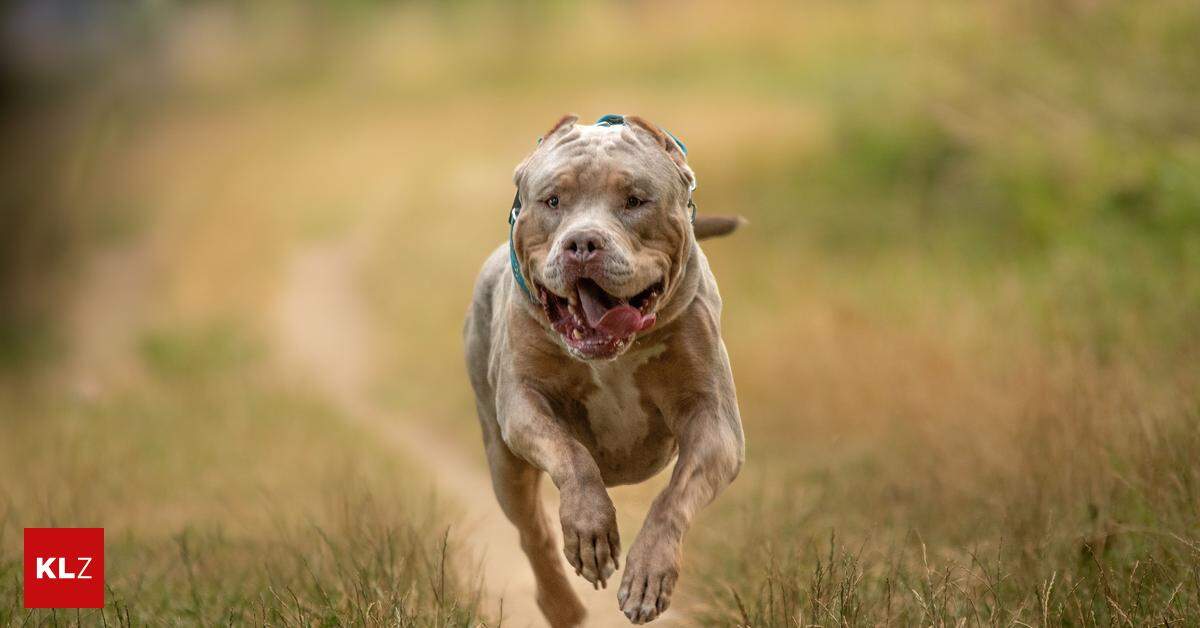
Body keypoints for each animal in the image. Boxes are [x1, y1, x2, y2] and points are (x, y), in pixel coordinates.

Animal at [465, 115, 739, 624]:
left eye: (634, 200)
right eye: (553, 201)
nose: (582, 243)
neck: (612, 354)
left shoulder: (716, 424)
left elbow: (673, 498)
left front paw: (648, 576)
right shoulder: (522, 404)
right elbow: (572, 455)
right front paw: (590, 531)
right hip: (503, 460)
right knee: (532, 532)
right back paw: (561, 605)